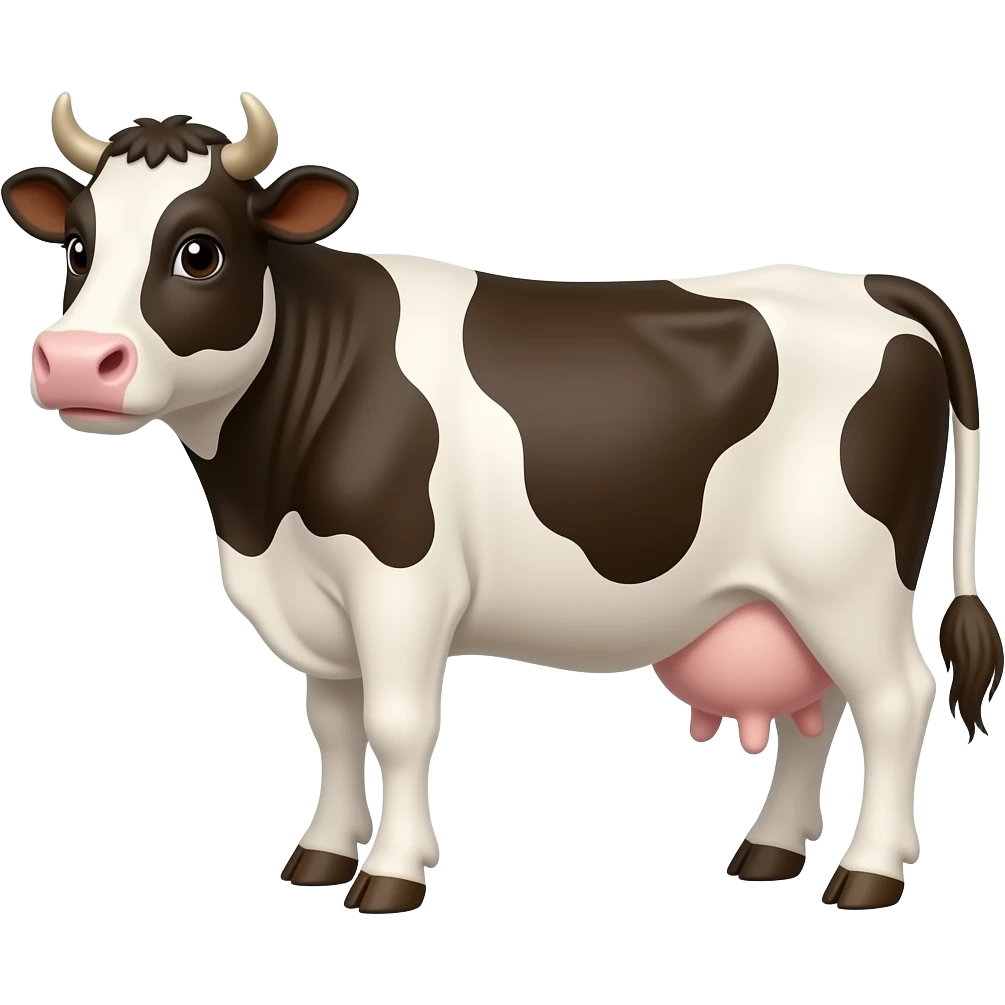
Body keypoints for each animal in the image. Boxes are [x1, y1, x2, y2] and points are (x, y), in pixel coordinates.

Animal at [5, 92, 1001, 915]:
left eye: (199, 251)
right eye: (79, 248)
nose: (76, 360)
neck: (259, 505)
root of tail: (875, 286)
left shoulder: (400, 583)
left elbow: (397, 725)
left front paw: (390, 874)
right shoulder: (319, 600)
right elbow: (333, 727)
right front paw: (321, 855)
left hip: (848, 575)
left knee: (894, 698)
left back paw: (866, 873)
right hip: (795, 592)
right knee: (819, 708)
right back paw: (769, 850)